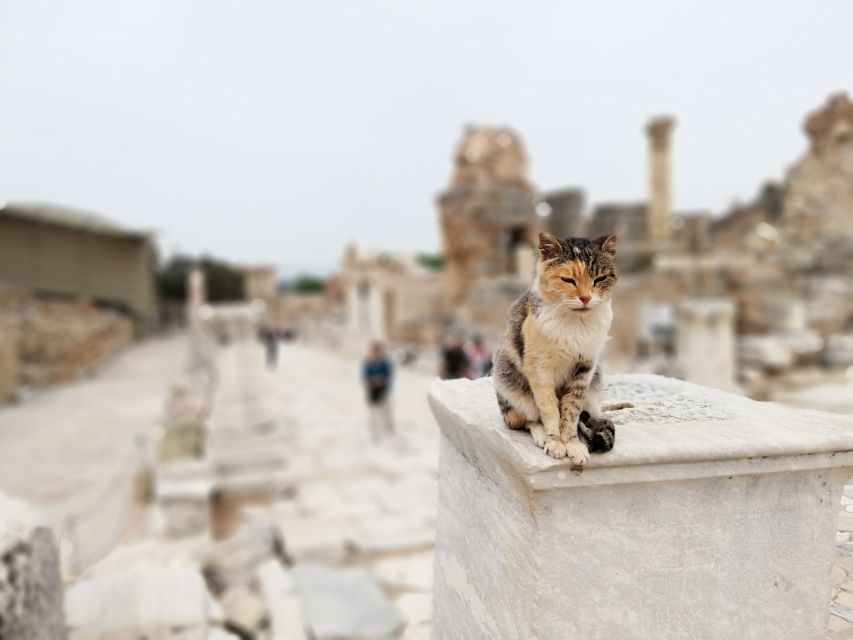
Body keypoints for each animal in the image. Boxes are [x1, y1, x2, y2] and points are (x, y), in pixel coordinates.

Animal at [492, 232, 620, 462]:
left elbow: (571, 411)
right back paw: (541, 434)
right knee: (528, 419)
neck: (576, 324)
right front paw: (555, 442)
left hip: (595, 384)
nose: (586, 298)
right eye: (568, 280)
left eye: (599, 279)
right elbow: (549, 410)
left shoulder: (585, 369)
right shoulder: (540, 369)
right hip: (510, 384)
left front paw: (573, 444)